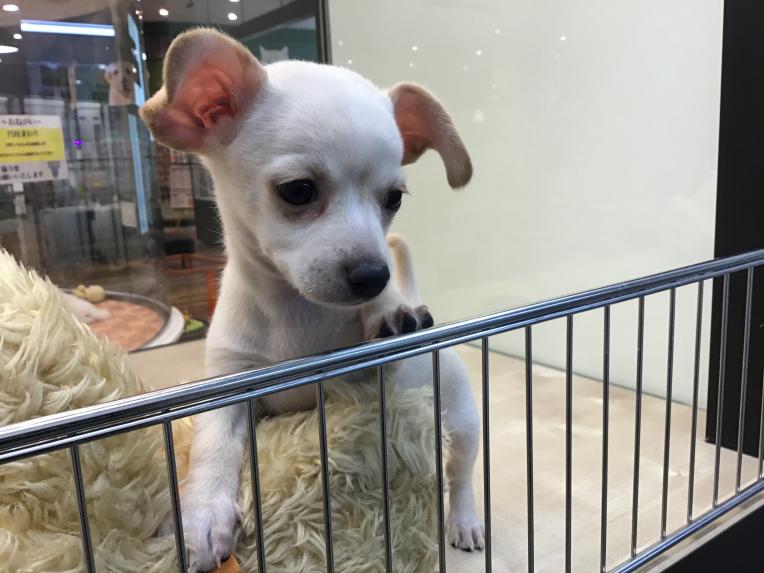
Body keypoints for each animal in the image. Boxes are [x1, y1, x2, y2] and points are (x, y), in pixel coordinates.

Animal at [141, 28, 482, 571]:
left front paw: (389, 311)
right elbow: (214, 448)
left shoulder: (380, 385)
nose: (374, 275)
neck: (294, 314)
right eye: (298, 191)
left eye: (393, 199)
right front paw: (200, 517)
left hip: (464, 421)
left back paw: (464, 519)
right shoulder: (230, 386)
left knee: (461, 473)